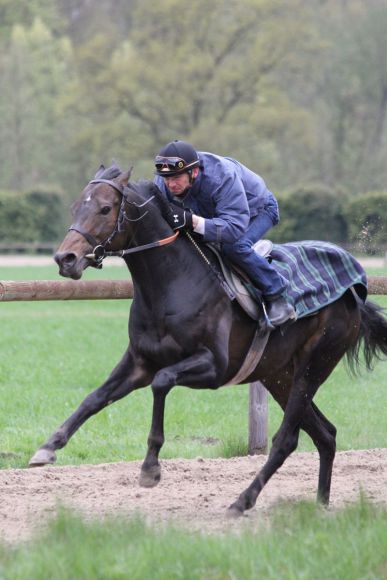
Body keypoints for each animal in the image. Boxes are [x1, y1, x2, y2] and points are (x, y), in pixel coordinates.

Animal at [28, 164, 387, 516]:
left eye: (105, 208)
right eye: (76, 206)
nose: (66, 259)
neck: (172, 283)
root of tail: (354, 293)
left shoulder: (214, 367)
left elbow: (162, 381)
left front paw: (150, 469)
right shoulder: (139, 361)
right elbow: (94, 398)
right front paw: (47, 448)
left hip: (314, 365)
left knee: (287, 440)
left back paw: (242, 501)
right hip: (279, 375)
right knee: (326, 434)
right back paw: (320, 505)